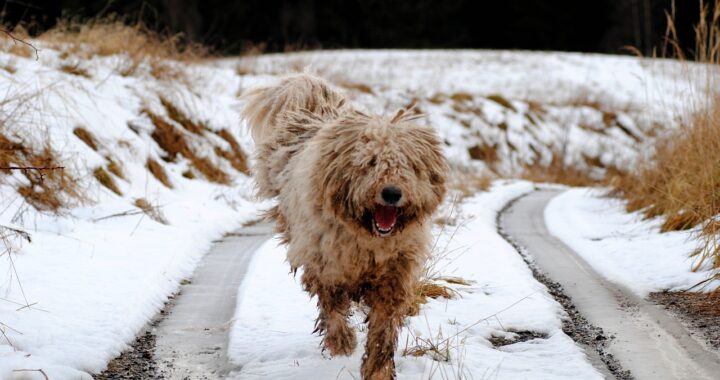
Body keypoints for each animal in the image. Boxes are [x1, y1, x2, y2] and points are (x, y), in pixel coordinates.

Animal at [242, 74, 444, 380]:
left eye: (408, 165)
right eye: (370, 163)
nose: (392, 193)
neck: (368, 238)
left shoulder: (395, 273)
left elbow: (383, 328)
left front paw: (378, 369)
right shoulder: (326, 264)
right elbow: (333, 305)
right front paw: (341, 342)